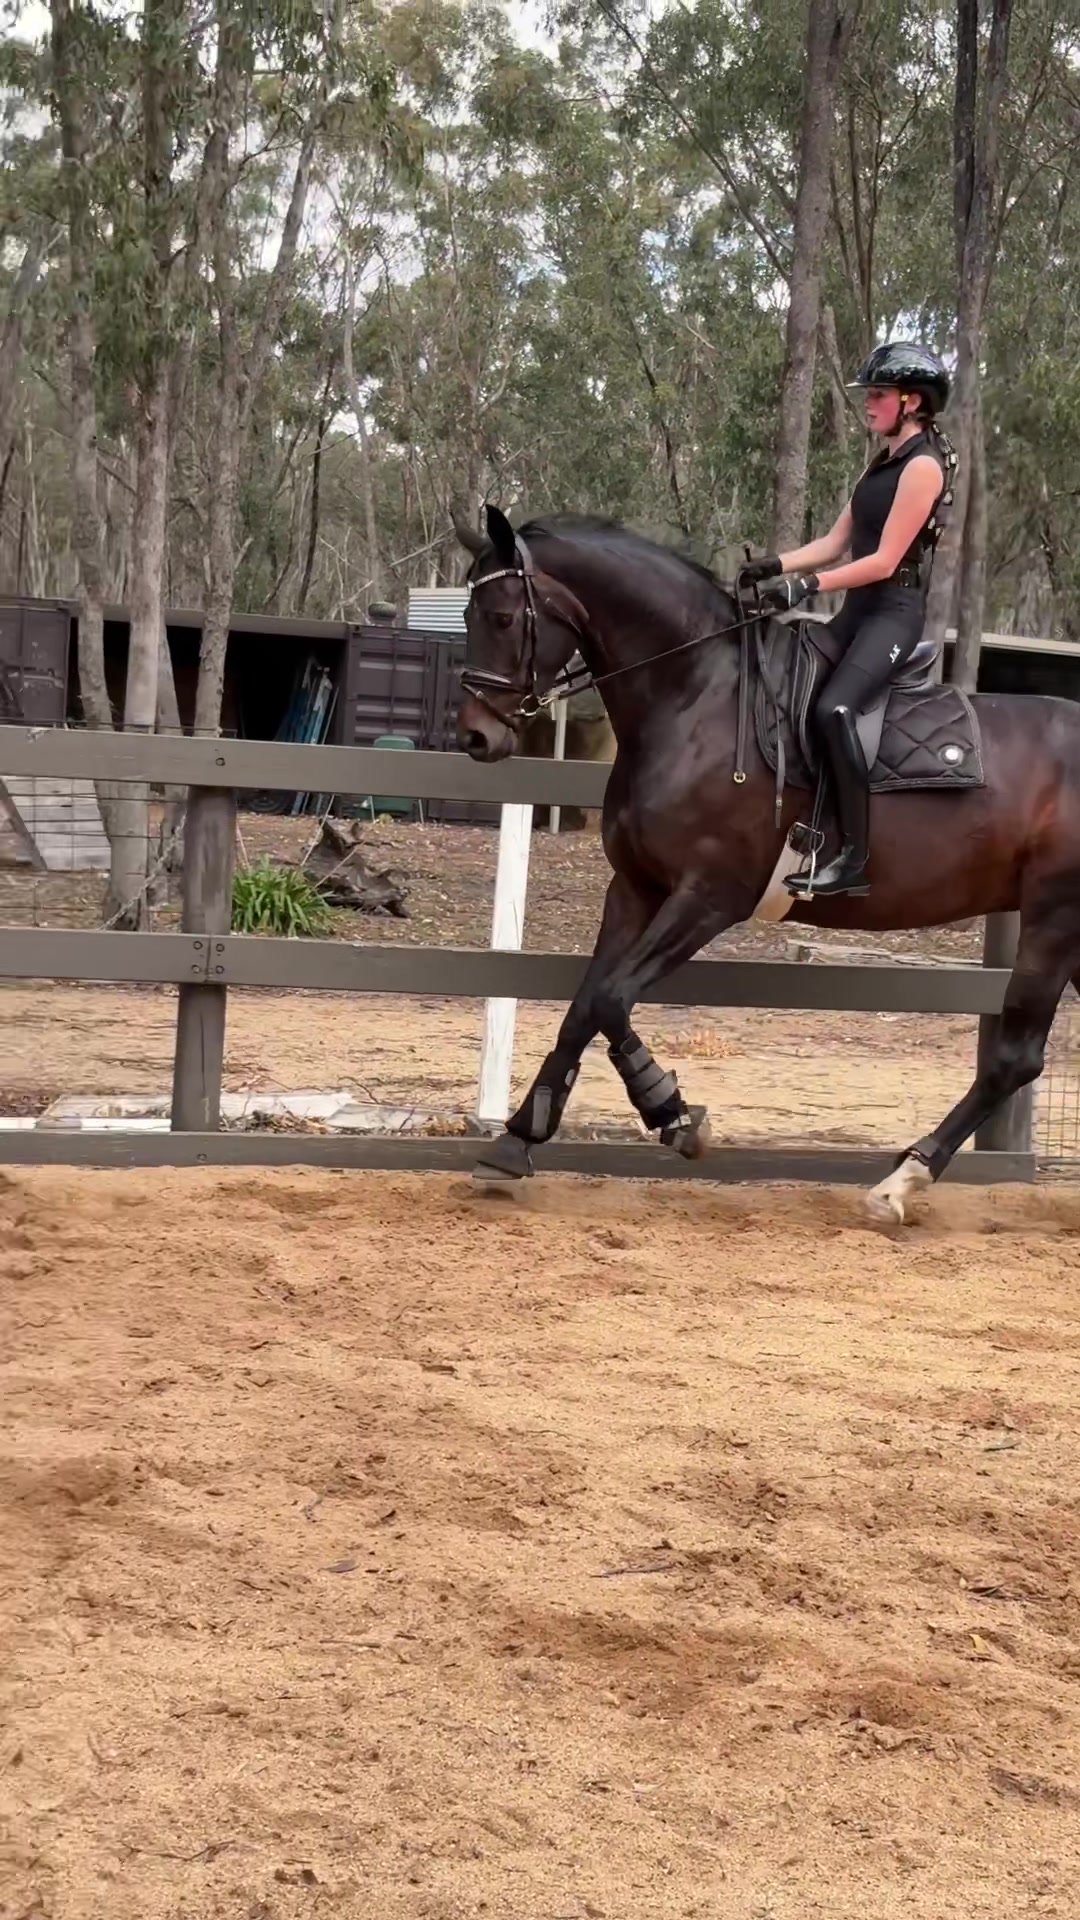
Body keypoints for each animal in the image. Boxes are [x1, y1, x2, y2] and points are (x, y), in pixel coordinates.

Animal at [453, 503, 1079, 1224]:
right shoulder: (635, 888)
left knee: (1014, 1058)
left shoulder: (709, 896)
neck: (696, 696)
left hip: (1054, 916)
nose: (475, 736)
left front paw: (672, 1113)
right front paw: (517, 1139)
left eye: (502, 617)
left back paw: (901, 1182)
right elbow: (585, 1005)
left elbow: (612, 998)